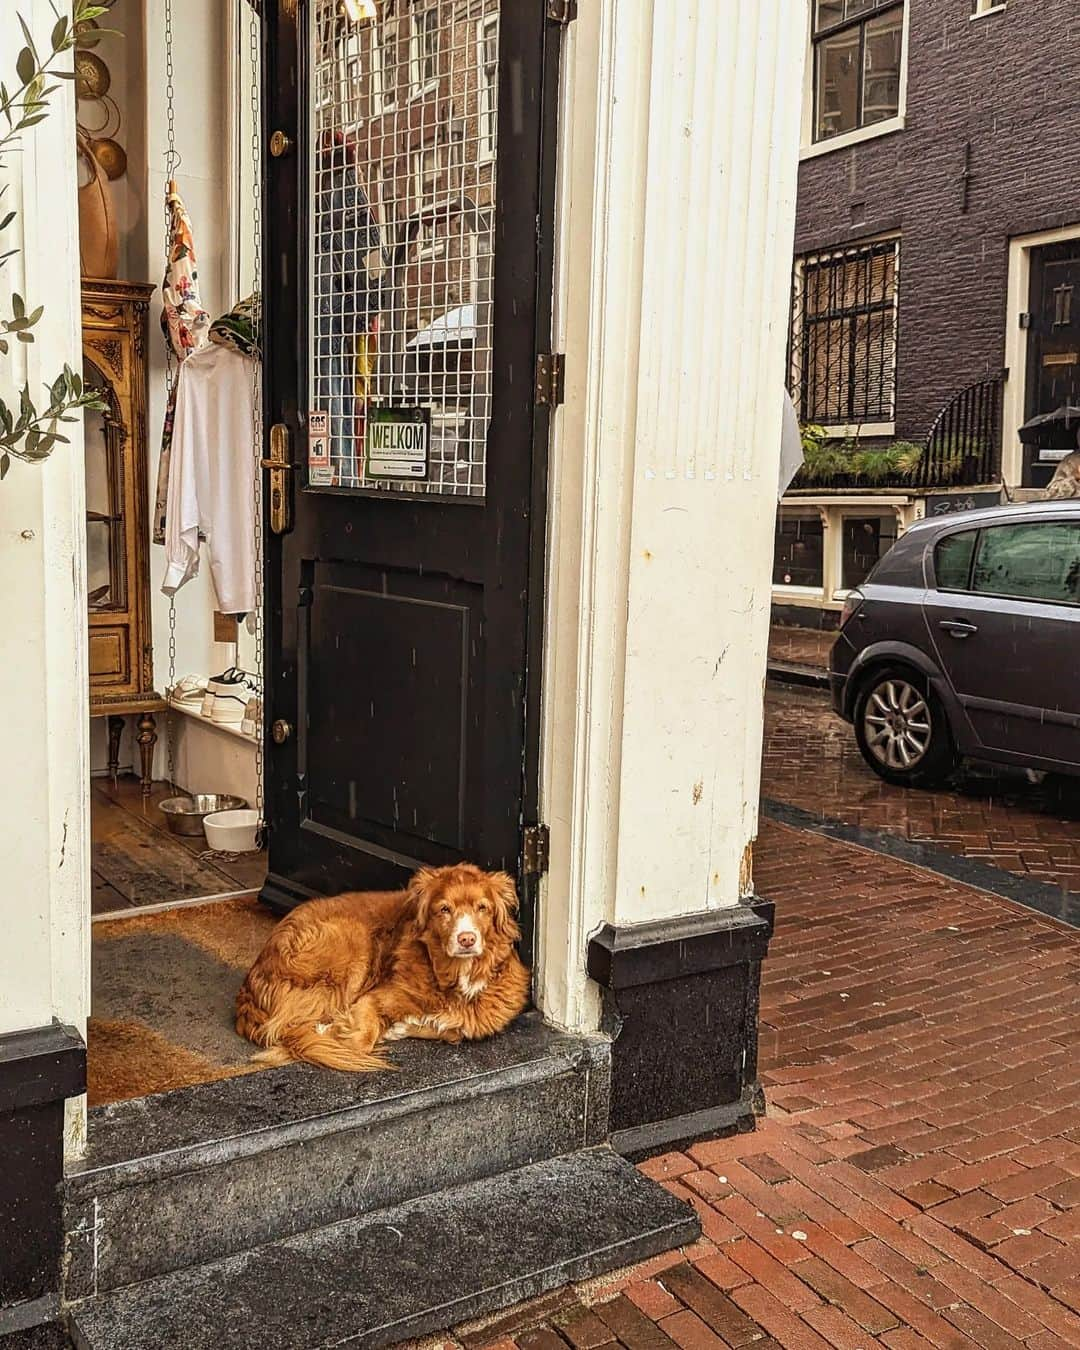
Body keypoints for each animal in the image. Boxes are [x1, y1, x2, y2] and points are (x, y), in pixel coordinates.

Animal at [233, 869, 529, 1069]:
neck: (453, 975)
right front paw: (340, 1031)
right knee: (288, 1027)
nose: (466, 939)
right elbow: (359, 1041)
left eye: (482, 908)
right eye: (444, 909)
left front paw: (401, 1027)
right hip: (352, 942)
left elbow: (453, 1031)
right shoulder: (373, 997)